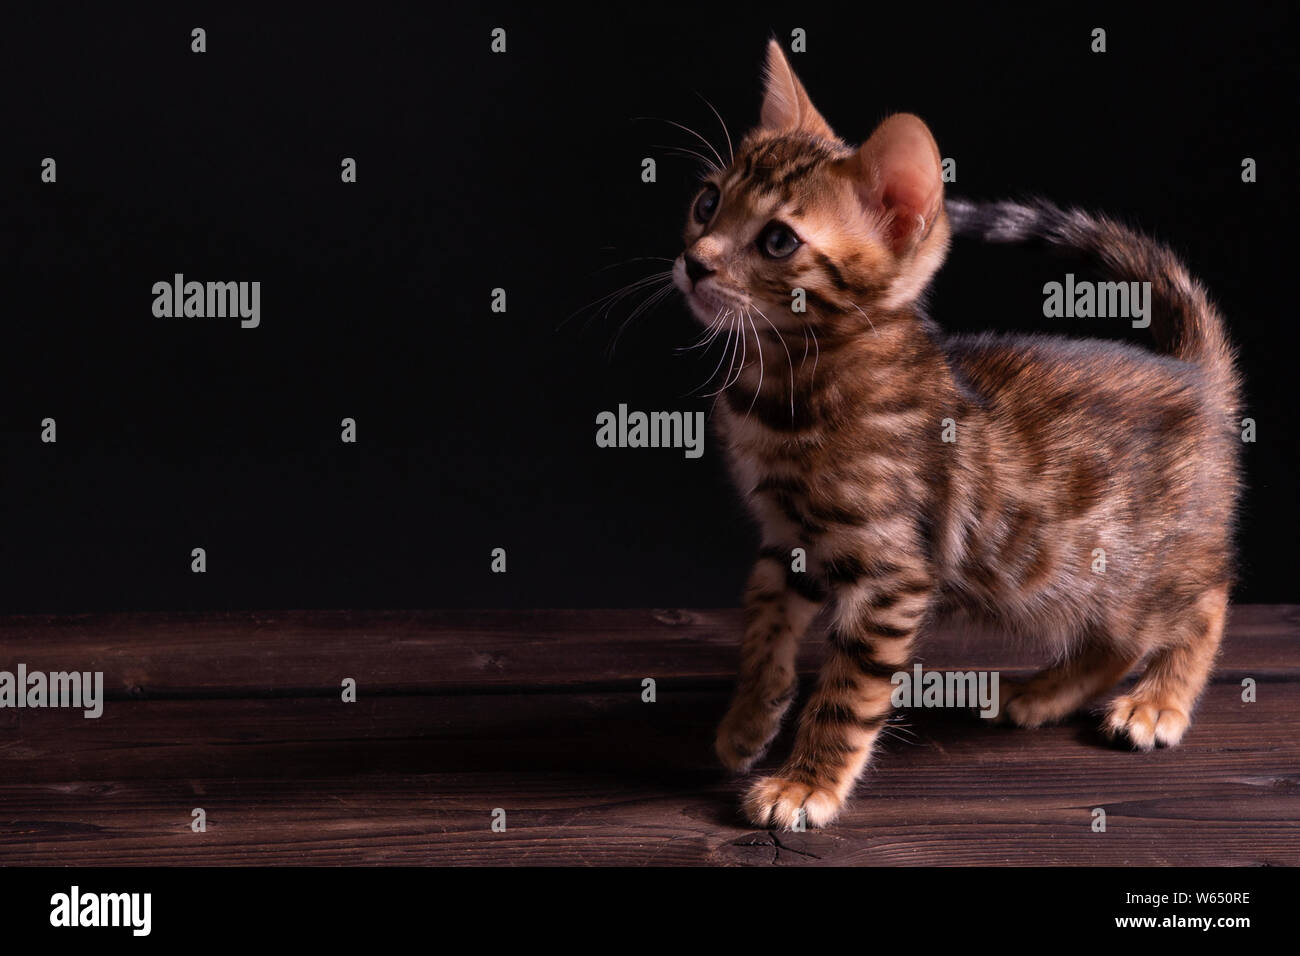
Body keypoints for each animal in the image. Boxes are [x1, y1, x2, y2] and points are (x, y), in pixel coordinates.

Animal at [676, 39, 1242, 832]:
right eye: (706, 202)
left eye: (779, 240)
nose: (695, 262)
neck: (788, 388)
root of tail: (1197, 375)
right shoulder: (787, 538)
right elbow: (762, 630)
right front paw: (747, 720)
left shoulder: (892, 572)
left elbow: (849, 693)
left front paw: (805, 784)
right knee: (1115, 633)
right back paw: (1045, 692)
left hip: (1136, 565)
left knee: (1204, 601)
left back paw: (1160, 700)